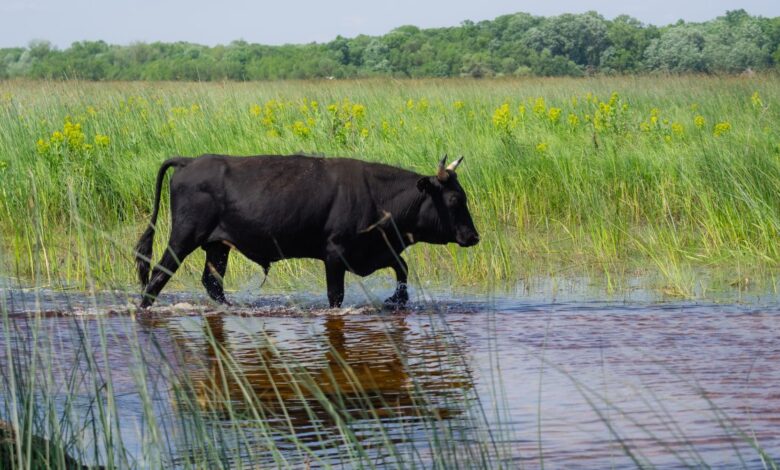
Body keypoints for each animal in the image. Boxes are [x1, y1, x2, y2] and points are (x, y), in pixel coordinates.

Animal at [134, 154, 480, 309]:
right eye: (454, 199)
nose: (473, 236)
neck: (378, 195)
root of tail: (190, 160)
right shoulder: (335, 254)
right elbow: (335, 295)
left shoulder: (374, 250)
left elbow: (402, 268)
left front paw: (396, 300)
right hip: (184, 237)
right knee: (158, 276)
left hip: (217, 245)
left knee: (212, 282)